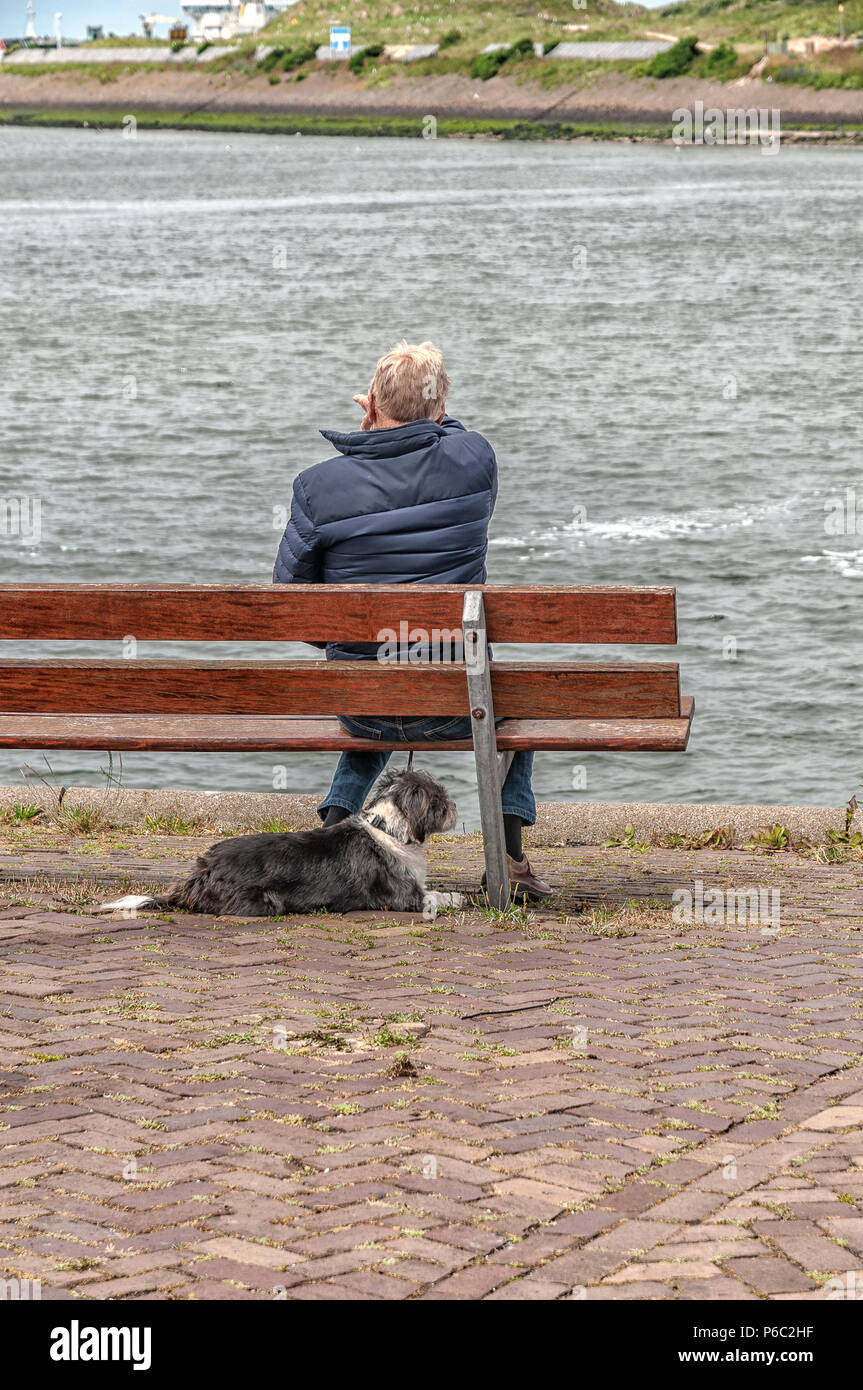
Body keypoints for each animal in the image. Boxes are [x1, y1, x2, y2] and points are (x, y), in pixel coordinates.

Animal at [99, 772, 464, 922]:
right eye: (440, 802)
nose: (455, 807)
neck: (388, 830)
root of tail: (199, 873)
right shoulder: (403, 897)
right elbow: (436, 898)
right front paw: (456, 898)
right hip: (267, 902)